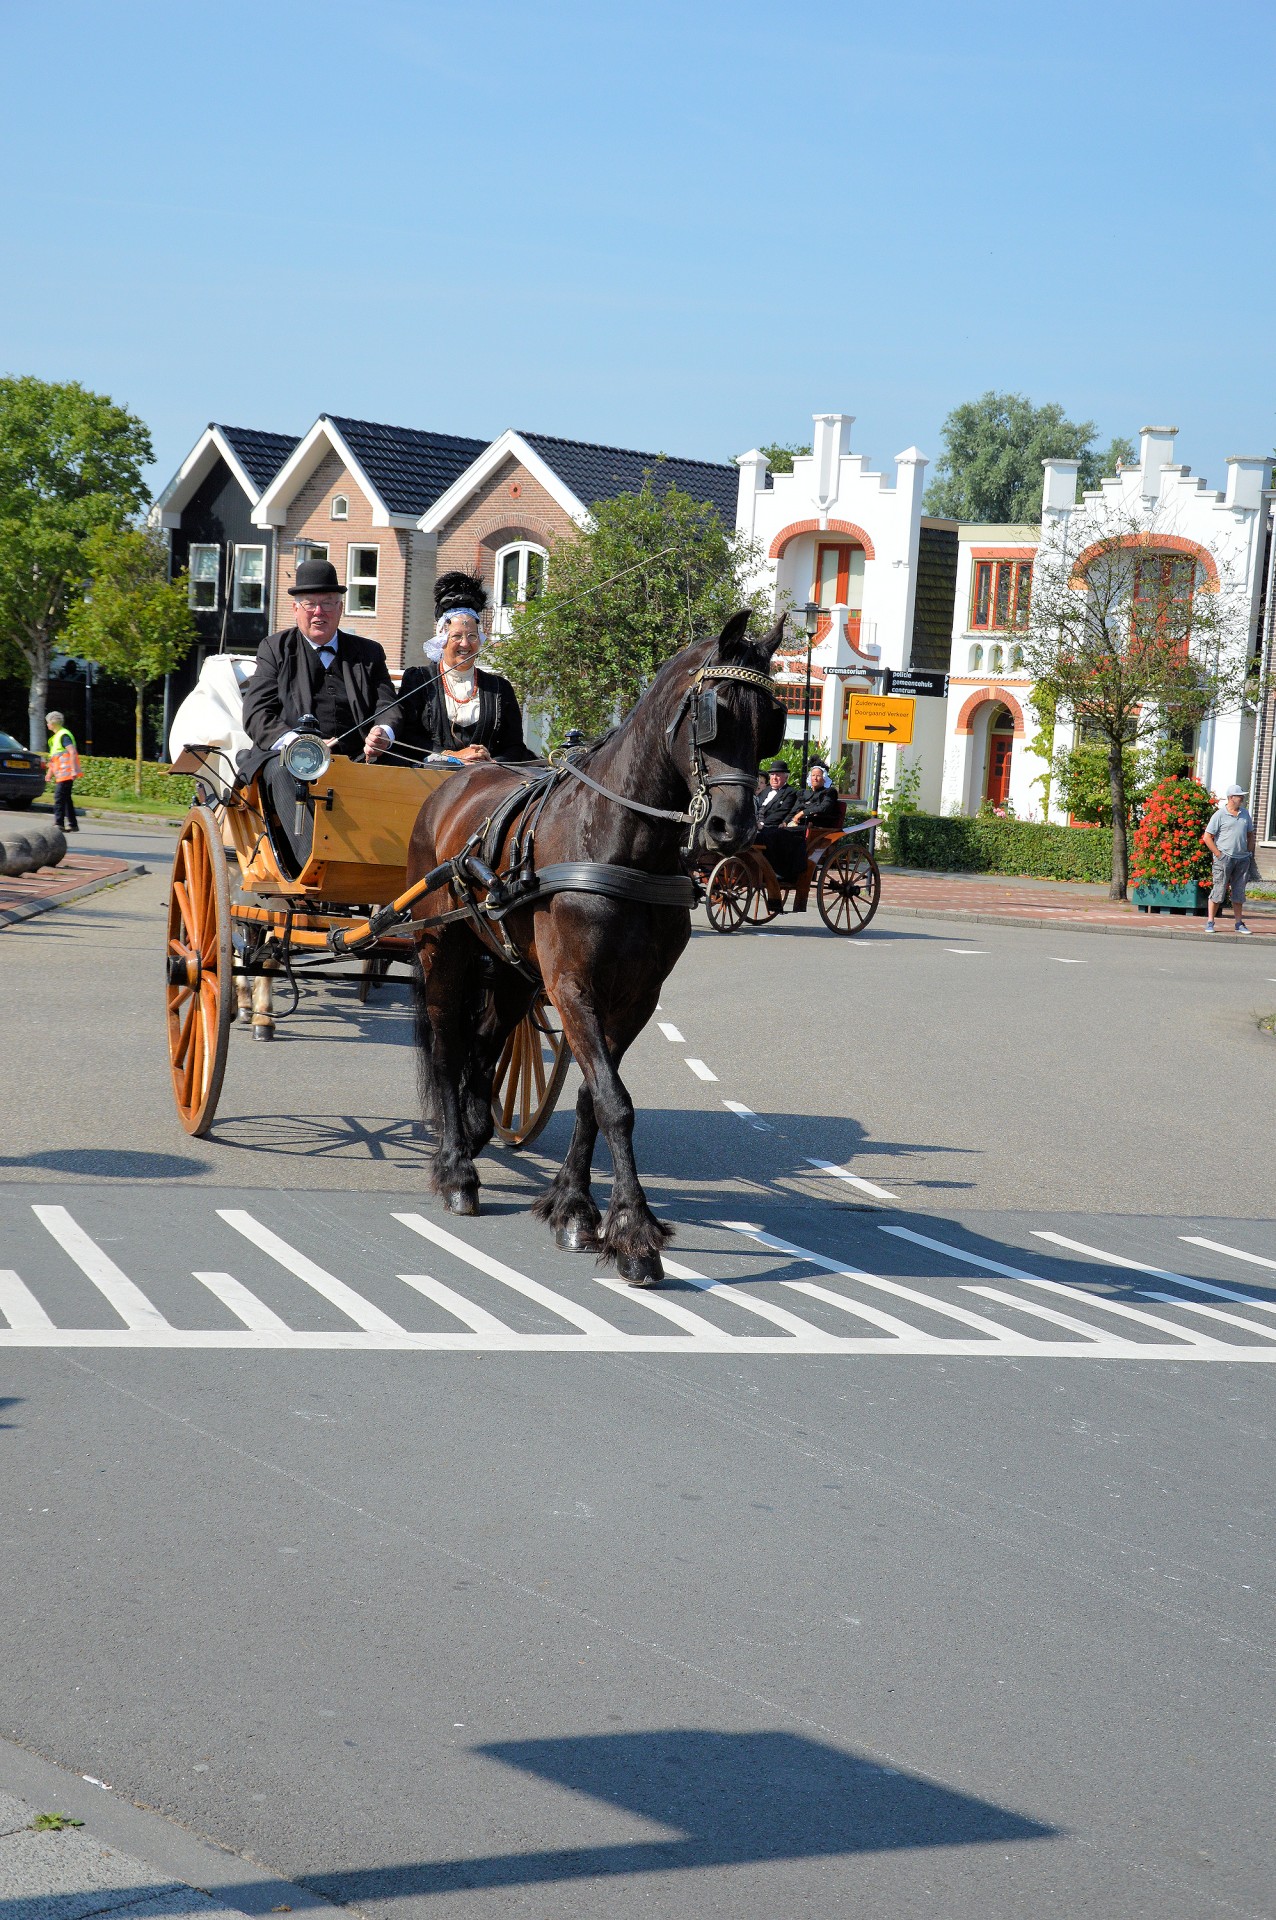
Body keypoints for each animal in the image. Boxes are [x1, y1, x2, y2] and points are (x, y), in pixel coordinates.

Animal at [408, 606, 786, 1282]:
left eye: (771, 722)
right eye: (714, 712)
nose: (734, 828)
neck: (618, 840)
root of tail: (456, 781)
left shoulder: (633, 996)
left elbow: (592, 1096)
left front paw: (573, 1207)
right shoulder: (573, 985)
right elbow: (615, 1101)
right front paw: (632, 1234)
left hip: (513, 968)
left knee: (487, 1038)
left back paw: (477, 1125)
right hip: (442, 947)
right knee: (449, 1042)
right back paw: (456, 1169)